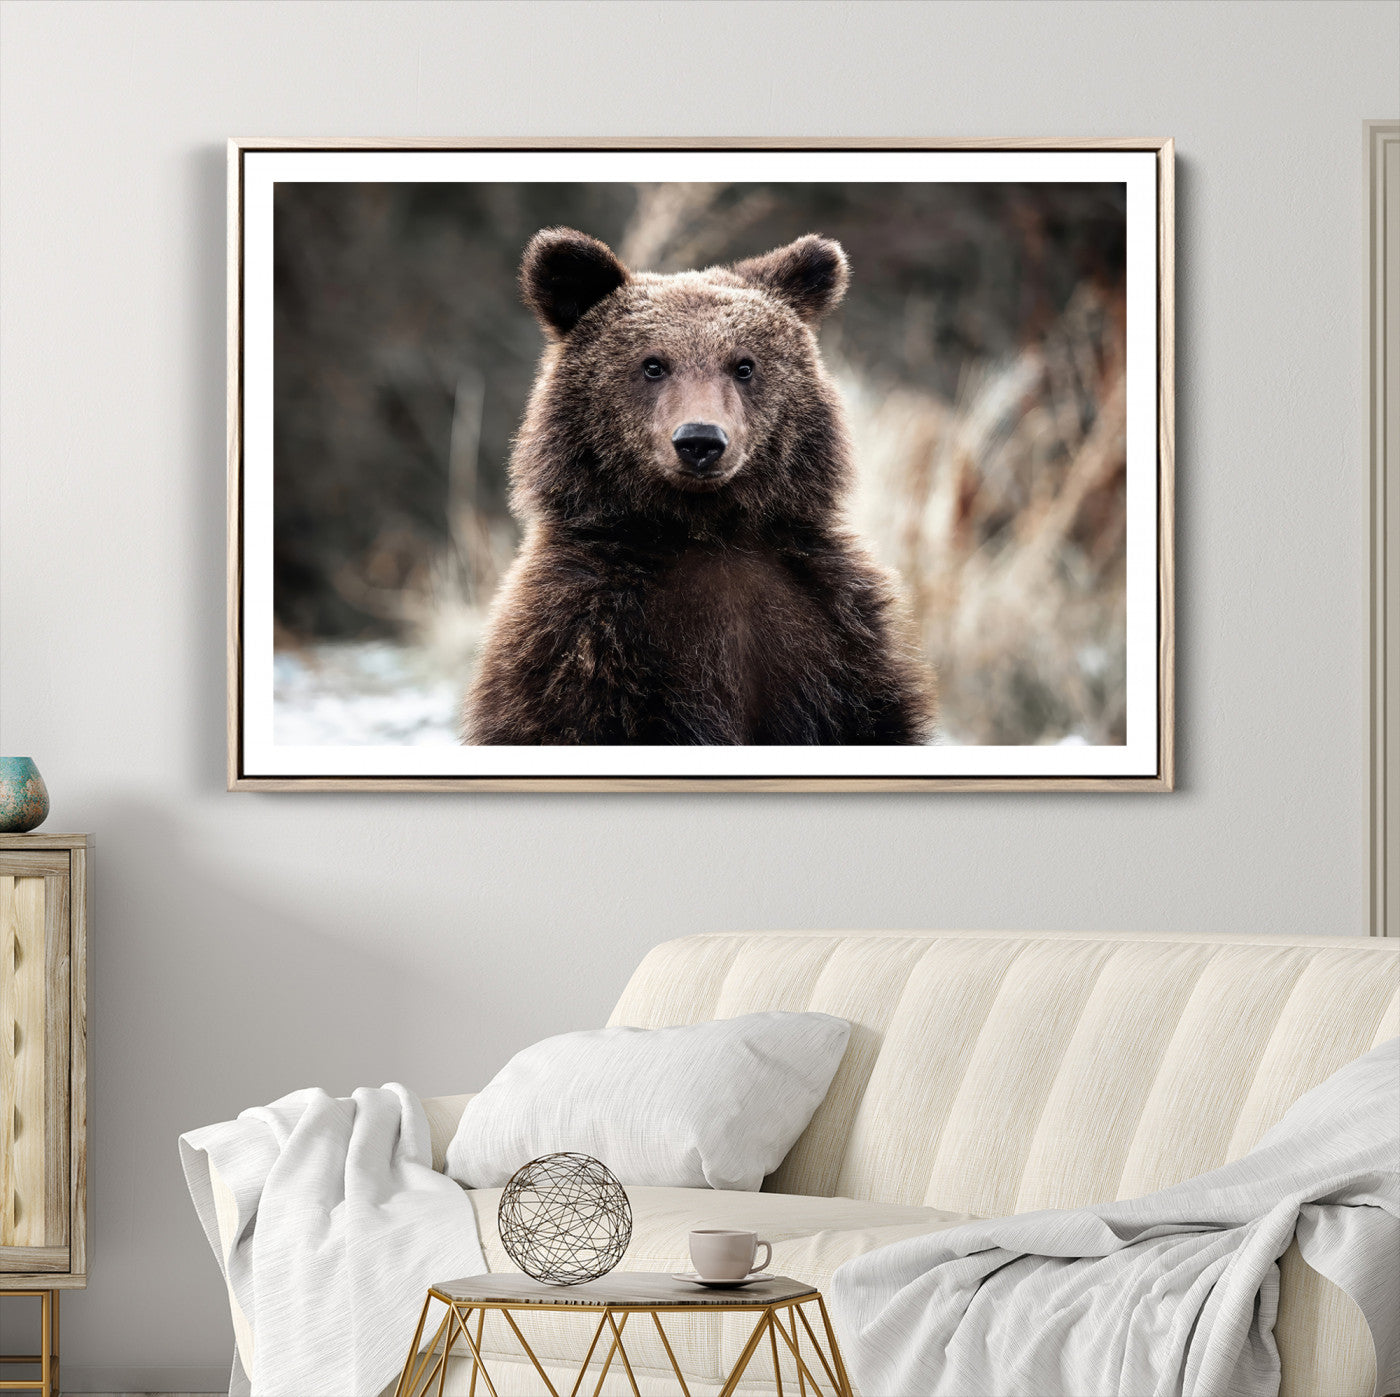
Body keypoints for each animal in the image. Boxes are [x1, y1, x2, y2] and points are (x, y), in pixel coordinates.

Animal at [463, 227, 935, 746]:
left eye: (744, 365)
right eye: (652, 364)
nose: (700, 441)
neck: (706, 529)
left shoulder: (834, 635)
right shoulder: (581, 641)